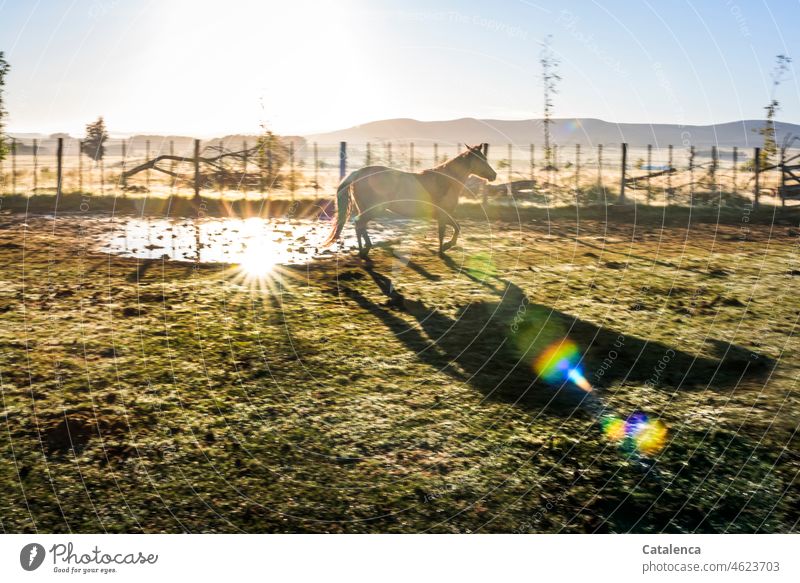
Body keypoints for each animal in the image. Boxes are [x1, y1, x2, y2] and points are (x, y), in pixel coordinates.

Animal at [322, 143, 496, 256]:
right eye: (482, 159)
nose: (494, 175)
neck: (447, 180)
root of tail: (358, 173)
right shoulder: (443, 214)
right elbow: (448, 231)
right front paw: (444, 249)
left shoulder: (443, 215)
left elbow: (455, 228)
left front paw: (445, 247)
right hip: (374, 209)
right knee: (359, 223)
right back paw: (364, 250)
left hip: (366, 208)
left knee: (360, 225)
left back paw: (364, 248)